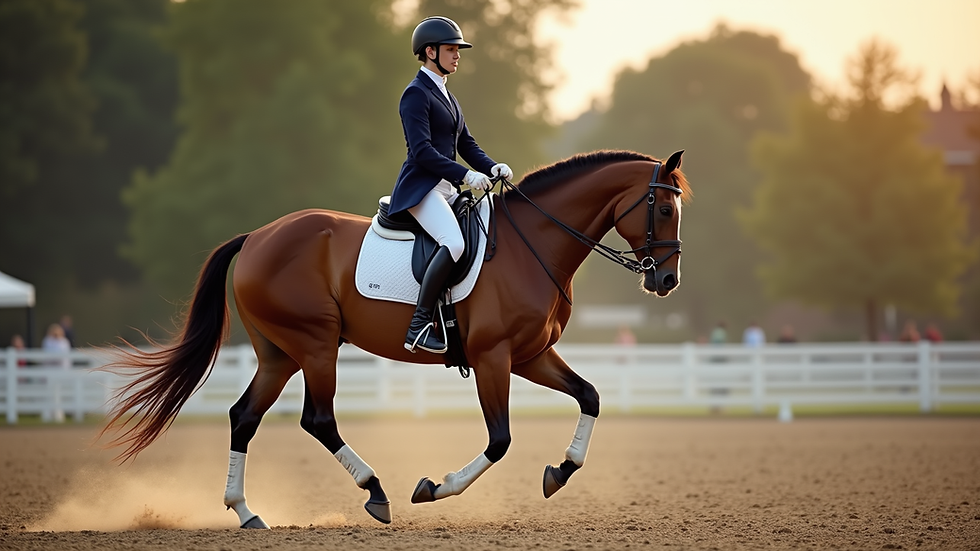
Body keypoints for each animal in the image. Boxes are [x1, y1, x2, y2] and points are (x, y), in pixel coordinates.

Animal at [100, 149, 690, 528]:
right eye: (663, 208)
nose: (666, 281)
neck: (534, 245)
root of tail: (257, 238)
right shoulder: (494, 356)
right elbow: (500, 440)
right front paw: (434, 488)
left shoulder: (531, 355)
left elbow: (590, 395)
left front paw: (560, 473)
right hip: (316, 345)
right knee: (318, 419)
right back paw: (375, 492)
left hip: (279, 354)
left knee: (244, 416)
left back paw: (246, 512)